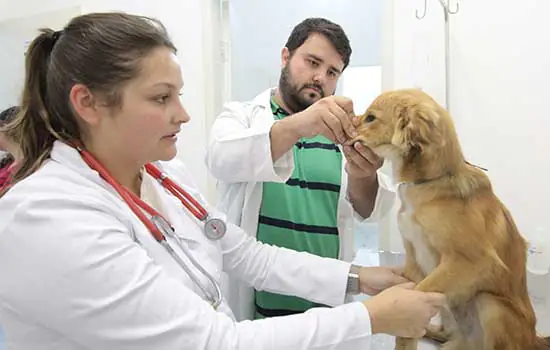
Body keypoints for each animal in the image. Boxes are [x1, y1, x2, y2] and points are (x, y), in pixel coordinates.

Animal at [354, 89, 548, 348]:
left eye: (370, 118)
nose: (349, 122)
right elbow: (406, 327)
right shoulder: (413, 258)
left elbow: (420, 292)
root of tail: (535, 339)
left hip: (491, 305)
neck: (428, 183)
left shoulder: (472, 260)